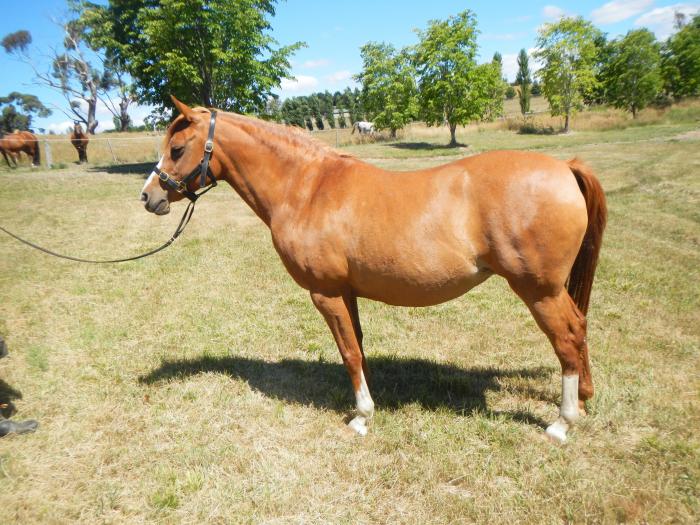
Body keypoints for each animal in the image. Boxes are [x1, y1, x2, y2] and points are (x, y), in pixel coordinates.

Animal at [141, 97, 607, 443]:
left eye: (177, 149)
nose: (148, 197)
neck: (306, 188)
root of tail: (565, 168)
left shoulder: (326, 293)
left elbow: (348, 351)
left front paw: (362, 416)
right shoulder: (346, 292)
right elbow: (359, 348)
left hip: (539, 291)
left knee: (567, 340)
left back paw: (562, 422)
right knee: (580, 327)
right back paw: (584, 399)